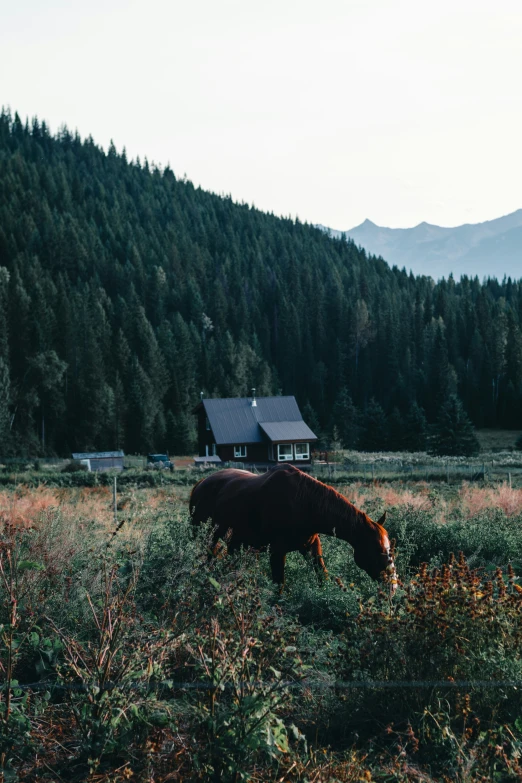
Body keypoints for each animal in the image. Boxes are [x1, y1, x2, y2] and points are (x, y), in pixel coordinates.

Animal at [189, 466, 396, 588]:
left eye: (391, 549)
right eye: (377, 550)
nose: (393, 585)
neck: (305, 504)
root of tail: (199, 484)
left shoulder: (312, 547)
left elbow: (323, 577)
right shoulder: (277, 552)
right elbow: (279, 586)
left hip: (235, 544)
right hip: (207, 540)